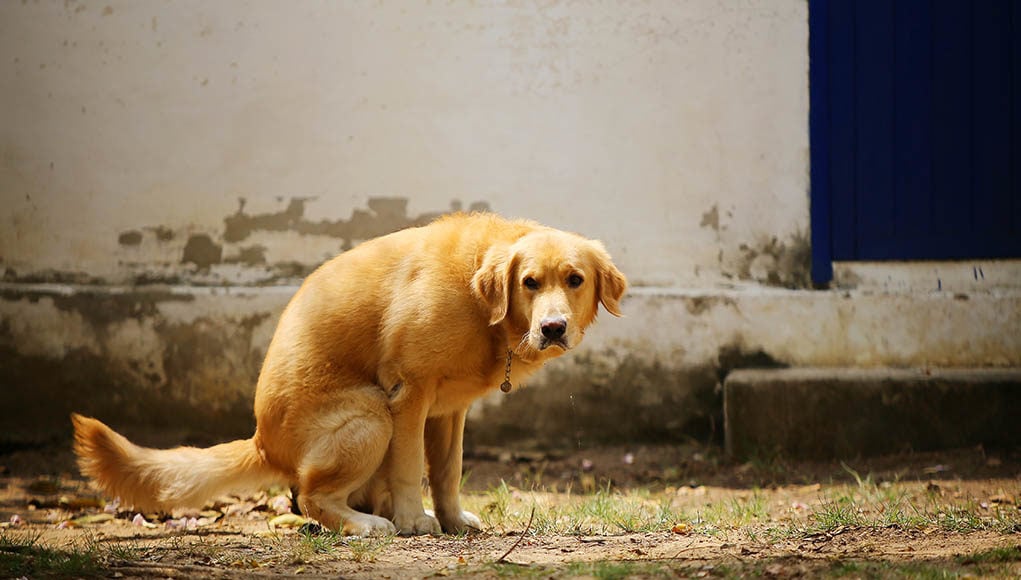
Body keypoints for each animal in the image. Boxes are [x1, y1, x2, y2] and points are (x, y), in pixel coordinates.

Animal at [69, 213, 620, 535]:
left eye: (575, 280)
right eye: (530, 282)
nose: (553, 328)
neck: (482, 304)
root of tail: (261, 441)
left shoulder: (451, 411)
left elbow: (446, 472)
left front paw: (451, 519)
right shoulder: (408, 395)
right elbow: (409, 468)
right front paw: (414, 520)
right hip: (370, 416)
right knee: (312, 499)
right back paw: (369, 523)